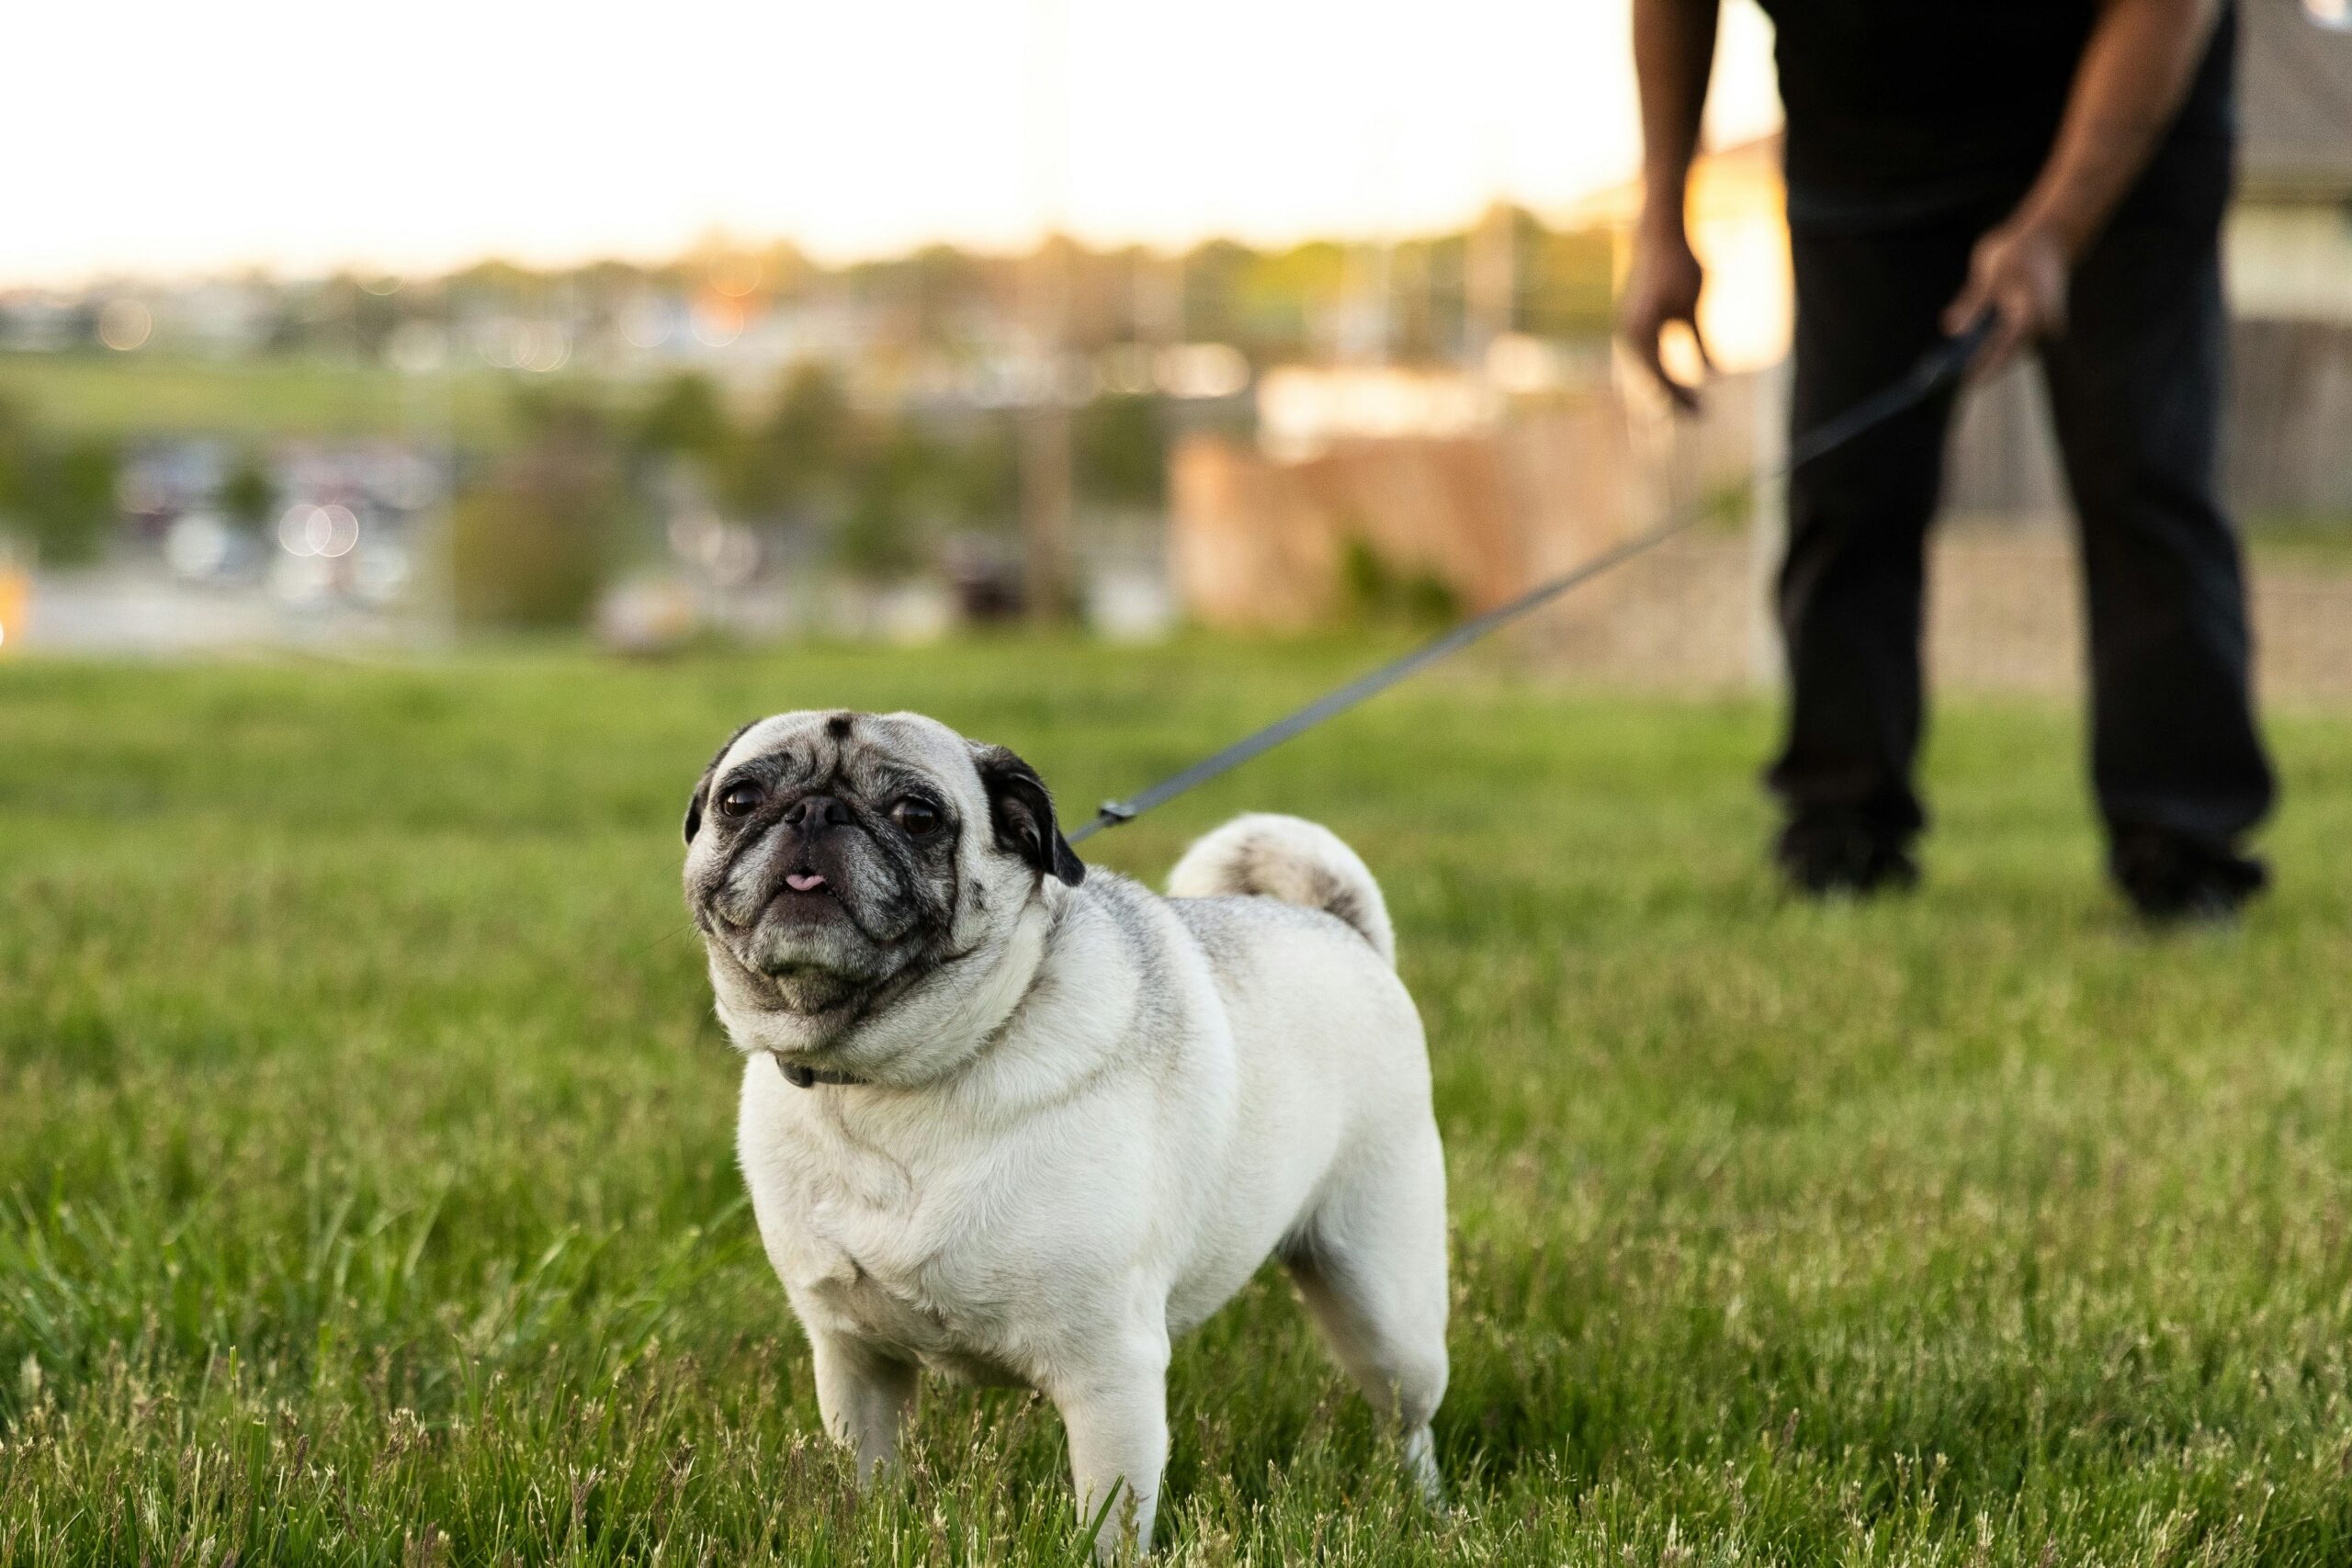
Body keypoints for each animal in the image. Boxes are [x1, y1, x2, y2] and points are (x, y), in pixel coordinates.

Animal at [682, 709, 1448, 1561]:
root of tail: (1342, 928)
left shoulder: (1109, 1372)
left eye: (919, 815)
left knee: (1407, 1415)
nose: (815, 811)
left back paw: (1426, 1509)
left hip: (1383, 1298)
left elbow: (1108, 1522)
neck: (885, 1080)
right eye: (740, 799)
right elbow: (869, 1481)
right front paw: (872, 1532)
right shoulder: (854, 1358)